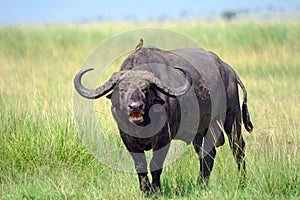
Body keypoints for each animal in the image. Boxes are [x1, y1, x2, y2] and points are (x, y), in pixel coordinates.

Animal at [74, 44, 252, 195]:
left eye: (145, 89)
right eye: (122, 89)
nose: (135, 107)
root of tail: (228, 70)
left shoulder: (164, 137)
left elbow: (155, 164)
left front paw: (156, 191)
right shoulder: (127, 138)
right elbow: (140, 165)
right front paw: (145, 191)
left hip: (233, 117)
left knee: (238, 148)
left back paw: (242, 182)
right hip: (201, 130)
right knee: (207, 153)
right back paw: (201, 185)